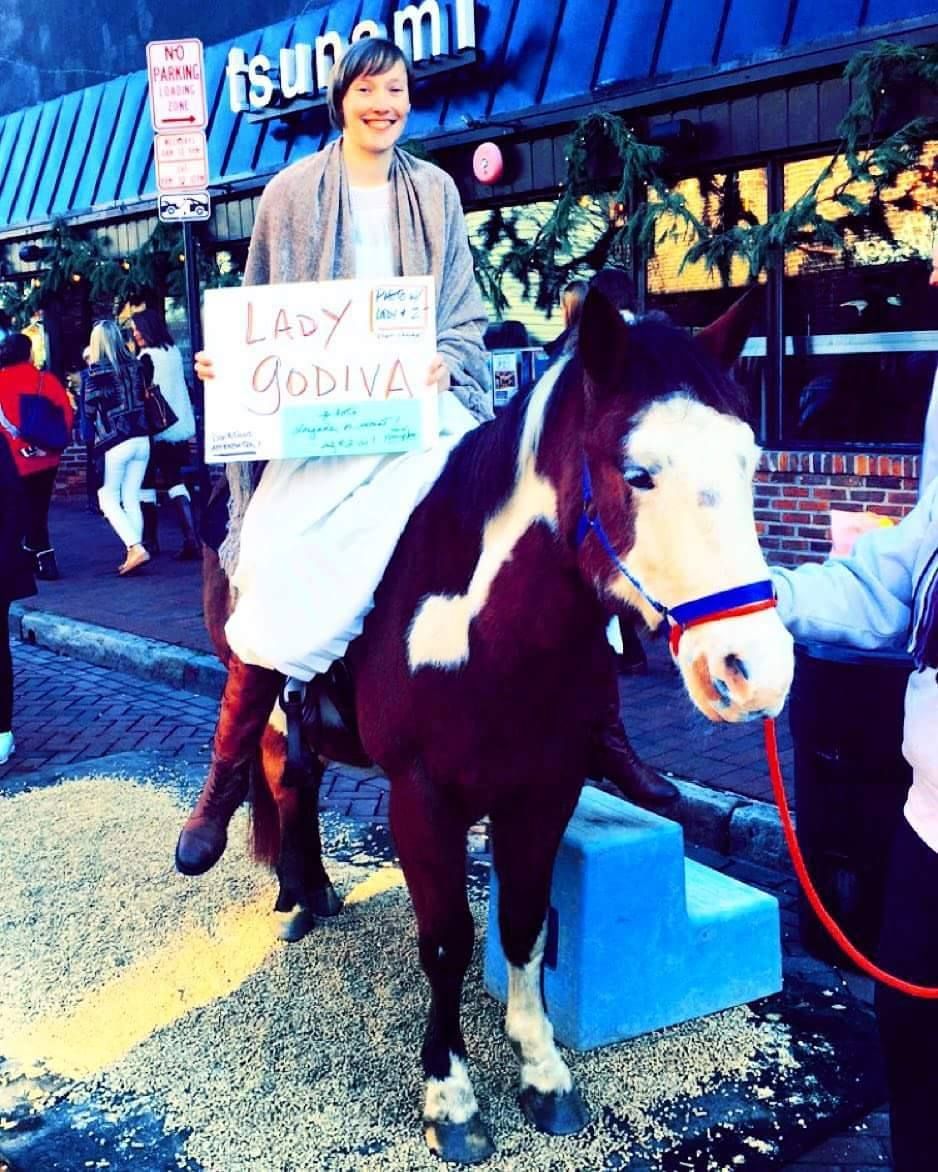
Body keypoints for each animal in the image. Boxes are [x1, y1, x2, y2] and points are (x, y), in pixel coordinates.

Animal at [241, 288, 794, 1163]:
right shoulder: (421, 798)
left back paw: (315, 889)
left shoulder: (545, 786)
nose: (755, 669)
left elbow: (526, 926)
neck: (492, 631)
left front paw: (541, 1071)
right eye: (637, 473)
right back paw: (294, 893)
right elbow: (447, 940)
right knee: (279, 772)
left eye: (749, 463)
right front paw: (452, 1099)